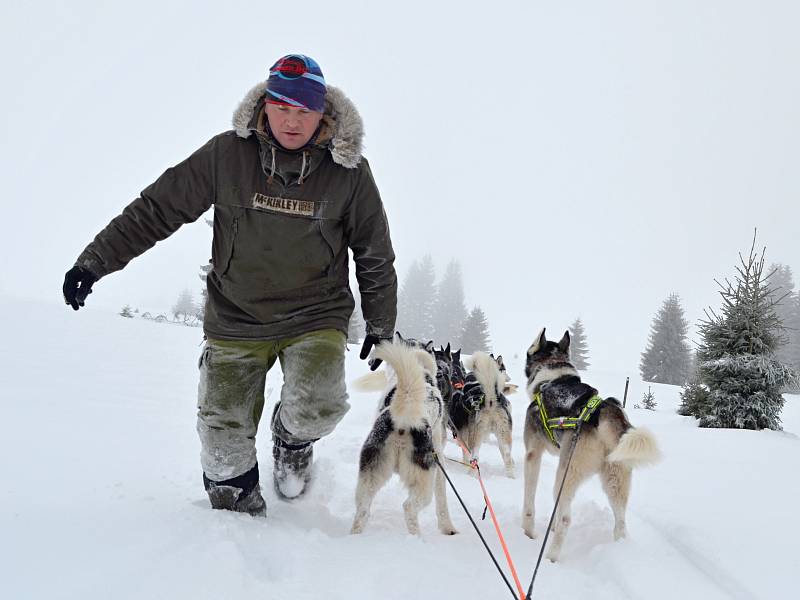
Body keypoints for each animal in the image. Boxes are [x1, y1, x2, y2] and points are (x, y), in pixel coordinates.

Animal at [520, 328, 664, 564]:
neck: (551, 375)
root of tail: (602, 408)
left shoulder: (532, 454)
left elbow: (529, 503)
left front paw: (528, 531)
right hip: (615, 482)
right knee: (620, 523)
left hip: (565, 474)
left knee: (566, 519)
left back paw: (551, 557)